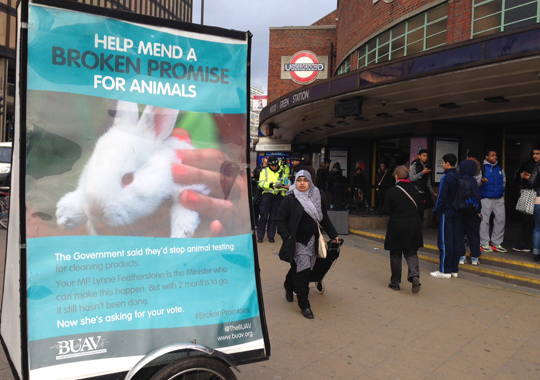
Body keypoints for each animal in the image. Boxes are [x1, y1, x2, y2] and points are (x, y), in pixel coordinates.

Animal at [53, 101, 208, 238]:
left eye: (128, 179)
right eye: (92, 168)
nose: (96, 210)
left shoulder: (189, 182)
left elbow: (185, 205)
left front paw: (181, 232)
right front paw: (65, 216)